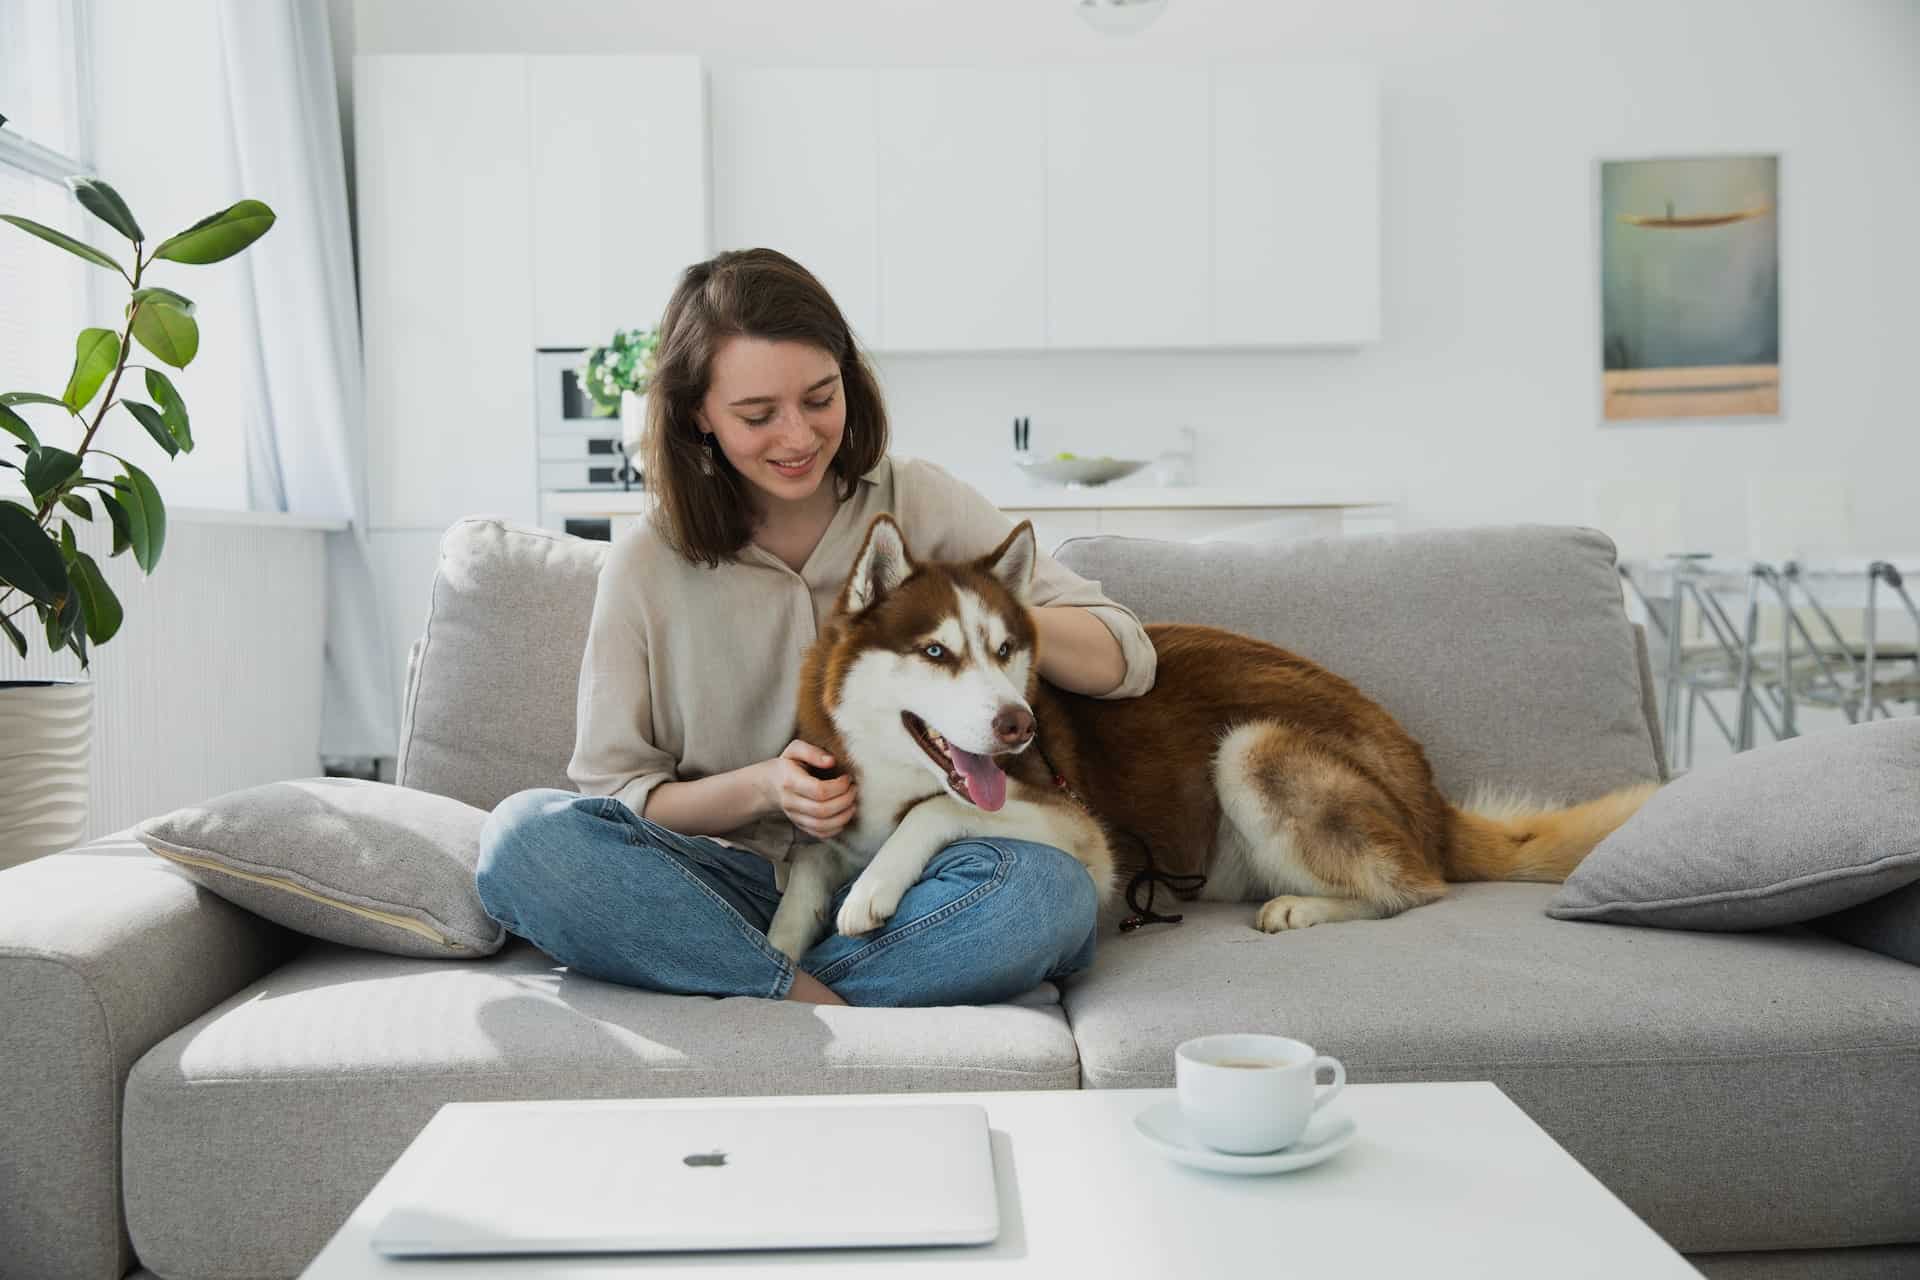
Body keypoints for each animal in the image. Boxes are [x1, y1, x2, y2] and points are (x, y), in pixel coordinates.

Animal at [756, 510, 1658, 959]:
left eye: (1006, 649)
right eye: (937, 652)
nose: (1017, 723)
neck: (894, 771)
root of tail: (1430, 792)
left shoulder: (1081, 833)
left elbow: (934, 814)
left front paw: (873, 888)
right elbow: (809, 862)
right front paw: (779, 942)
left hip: (1254, 747)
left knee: (1416, 887)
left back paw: (1303, 907)